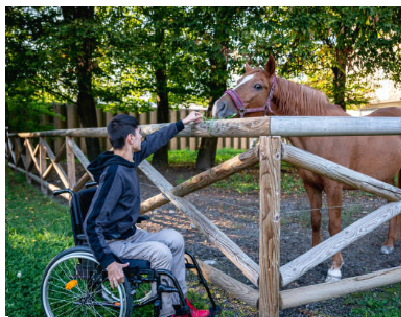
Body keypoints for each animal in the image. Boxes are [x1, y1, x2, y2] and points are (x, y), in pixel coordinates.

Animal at [212, 55, 400, 280]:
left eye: (258, 85)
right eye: (239, 80)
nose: (219, 106)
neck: (322, 132)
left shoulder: (334, 188)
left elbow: (334, 226)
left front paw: (335, 268)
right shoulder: (310, 186)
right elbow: (315, 220)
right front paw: (314, 254)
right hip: (387, 179)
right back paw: (389, 243)